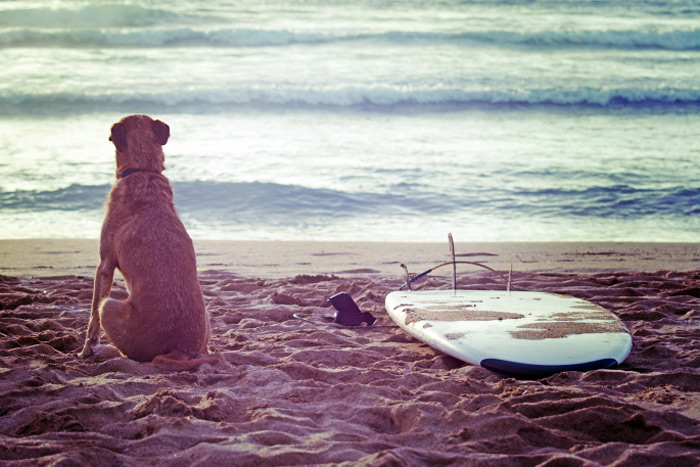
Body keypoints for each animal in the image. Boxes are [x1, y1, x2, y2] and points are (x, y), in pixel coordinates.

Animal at [77, 115, 219, 372]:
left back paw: (106, 351)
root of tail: (180, 350)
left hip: (110, 307)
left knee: (125, 348)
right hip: (206, 316)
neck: (143, 170)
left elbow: (92, 318)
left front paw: (86, 350)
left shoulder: (104, 265)